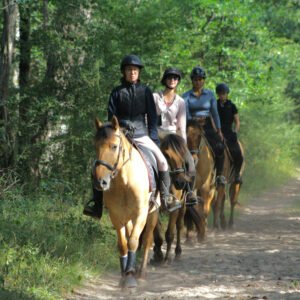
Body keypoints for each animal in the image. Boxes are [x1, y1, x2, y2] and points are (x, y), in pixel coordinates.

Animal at [92, 116, 159, 288]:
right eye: (95, 145)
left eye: (114, 146)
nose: (100, 182)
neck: (125, 182)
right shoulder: (116, 215)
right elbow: (123, 244)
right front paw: (124, 275)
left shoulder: (141, 213)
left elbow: (134, 242)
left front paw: (130, 277)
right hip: (127, 217)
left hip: (152, 213)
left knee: (147, 240)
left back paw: (141, 274)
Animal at [151, 133, 191, 262]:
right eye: (167, 155)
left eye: (182, 155)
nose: (180, 182)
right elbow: (157, 234)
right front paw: (158, 254)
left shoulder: (174, 208)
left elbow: (169, 234)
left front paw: (167, 257)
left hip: (182, 206)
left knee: (179, 226)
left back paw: (178, 251)